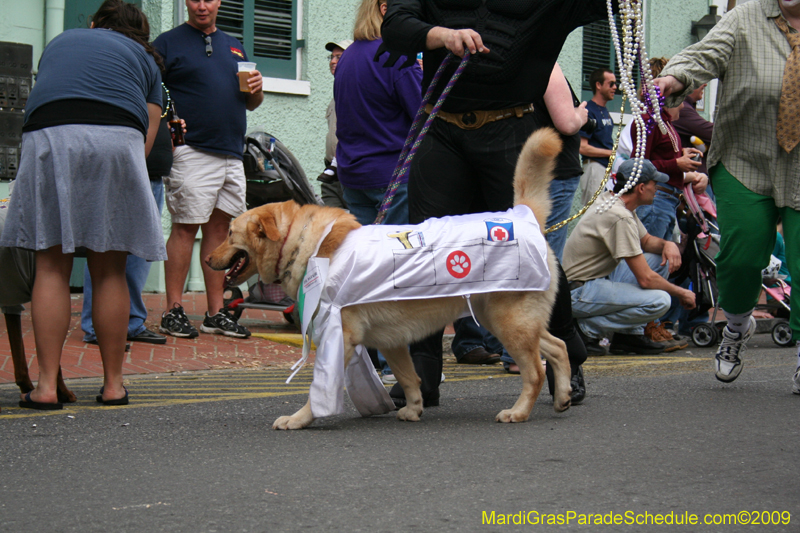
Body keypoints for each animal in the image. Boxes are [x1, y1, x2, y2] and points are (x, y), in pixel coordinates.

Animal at [206, 128, 568, 428]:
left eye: (229, 233)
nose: (207, 258)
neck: (304, 243)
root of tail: (522, 214)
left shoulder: (340, 338)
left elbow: (319, 390)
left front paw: (299, 419)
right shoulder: (391, 341)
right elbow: (410, 380)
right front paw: (414, 409)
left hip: (509, 323)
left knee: (536, 372)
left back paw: (519, 412)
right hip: (506, 321)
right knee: (558, 346)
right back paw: (564, 396)